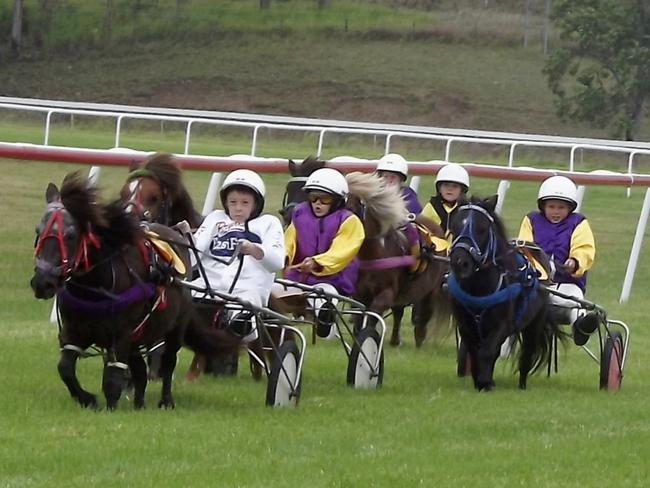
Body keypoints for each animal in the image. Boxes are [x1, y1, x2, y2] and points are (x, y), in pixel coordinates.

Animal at [30, 173, 238, 410]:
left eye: (71, 235)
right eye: (38, 231)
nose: (42, 282)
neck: (96, 286)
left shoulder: (120, 336)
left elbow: (112, 380)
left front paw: (109, 406)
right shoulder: (74, 332)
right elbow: (65, 368)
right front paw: (87, 399)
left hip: (175, 327)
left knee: (168, 362)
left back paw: (166, 400)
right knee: (139, 368)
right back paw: (139, 403)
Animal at [446, 196, 556, 390]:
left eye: (482, 229)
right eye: (454, 227)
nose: (460, 263)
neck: (478, 288)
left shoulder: (502, 324)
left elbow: (488, 351)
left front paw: (485, 382)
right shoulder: (465, 324)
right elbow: (474, 352)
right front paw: (481, 380)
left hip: (535, 323)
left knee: (526, 353)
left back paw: (522, 385)